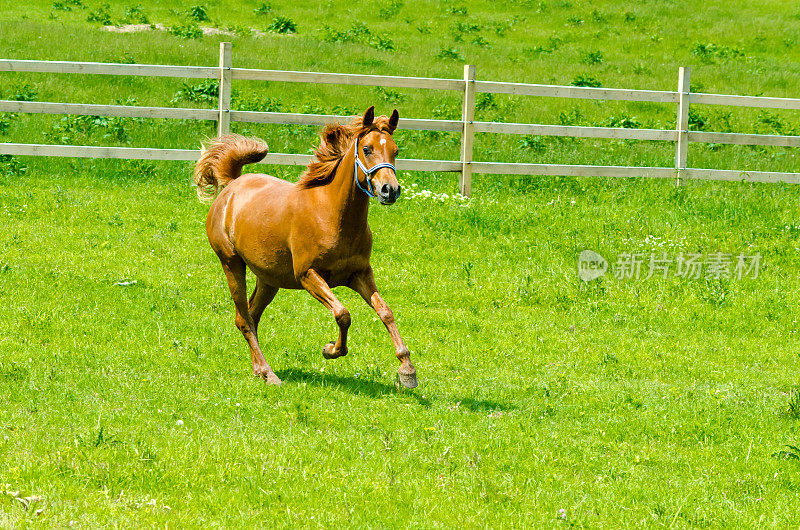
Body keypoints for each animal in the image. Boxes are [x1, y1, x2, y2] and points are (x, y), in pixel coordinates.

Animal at [195, 106, 418, 388]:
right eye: (367, 149)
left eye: (395, 151)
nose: (391, 190)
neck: (332, 216)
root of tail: (231, 186)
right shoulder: (308, 275)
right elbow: (343, 313)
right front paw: (331, 349)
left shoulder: (360, 274)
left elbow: (386, 312)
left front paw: (407, 370)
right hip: (232, 264)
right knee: (244, 319)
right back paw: (269, 374)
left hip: (269, 280)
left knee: (250, 316)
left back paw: (259, 370)